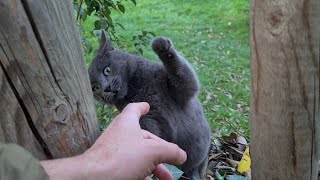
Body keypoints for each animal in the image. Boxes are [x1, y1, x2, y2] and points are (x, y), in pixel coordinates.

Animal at [89, 31, 211, 179]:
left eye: (107, 70)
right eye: (95, 88)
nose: (106, 88)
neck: (135, 88)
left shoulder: (182, 89)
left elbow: (183, 75)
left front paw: (161, 46)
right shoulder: (147, 118)